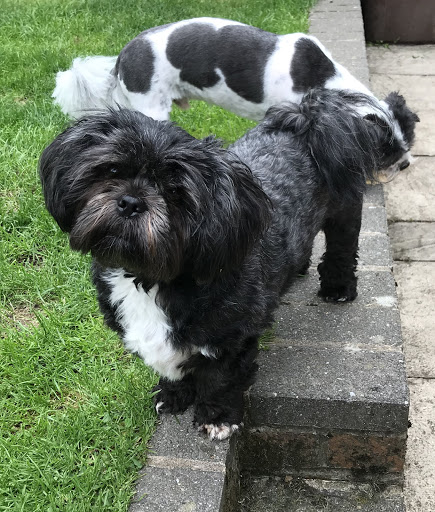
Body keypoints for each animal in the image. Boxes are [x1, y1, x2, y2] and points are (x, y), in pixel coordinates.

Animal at [39, 88, 417, 440]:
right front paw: (173, 396)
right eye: (112, 170)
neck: (155, 278)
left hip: (344, 209)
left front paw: (217, 418)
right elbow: (171, 367)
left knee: (342, 248)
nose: (131, 201)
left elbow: (220, 379)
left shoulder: (232, 337)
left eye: (175, 193)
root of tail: (306, 120)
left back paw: (338, 288)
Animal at [53, 17, 419, 178]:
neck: (322, 79)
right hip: (152, 107)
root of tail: (122, 56)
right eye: (386, 154)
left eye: (408, 146)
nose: (405, 164)